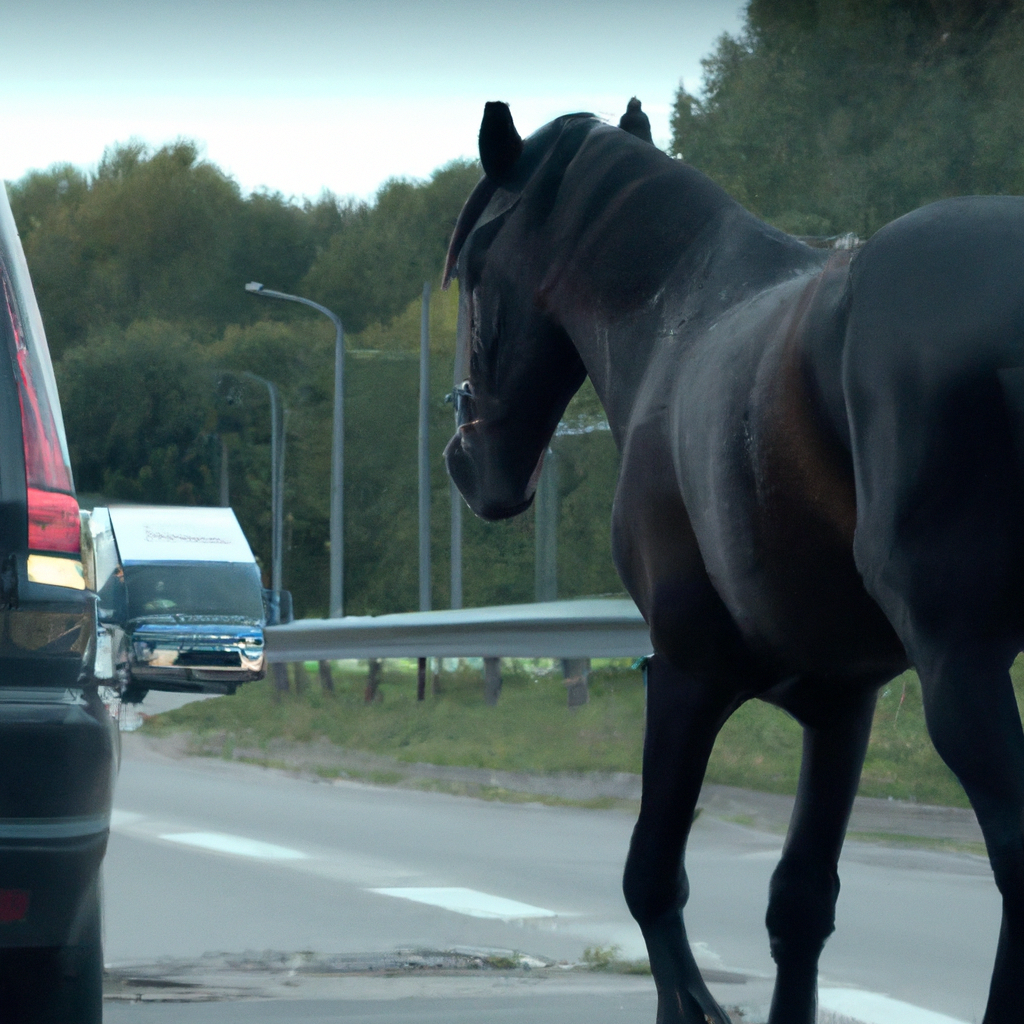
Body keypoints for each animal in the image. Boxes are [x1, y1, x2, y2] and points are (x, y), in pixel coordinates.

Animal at [444, 101, 1024, 1024]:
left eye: (471, 272)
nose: (471, 469)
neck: (676, 319)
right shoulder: (843, 703)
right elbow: (799, 905)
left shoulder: (686, 671)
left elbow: (651, 877)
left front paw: (692, 1000)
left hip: (959, 672)